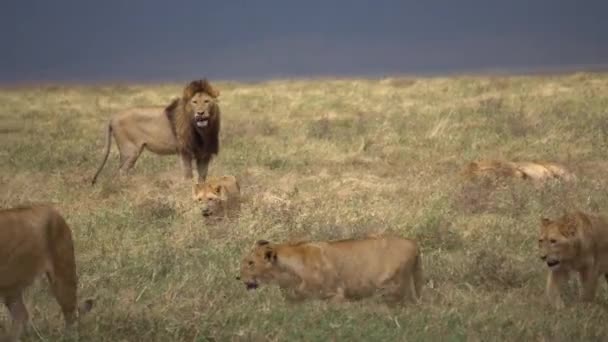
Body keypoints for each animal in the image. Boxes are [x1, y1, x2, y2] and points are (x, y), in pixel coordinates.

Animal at [91, 79, 220, 186]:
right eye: (194, 102)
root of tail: (113, 117)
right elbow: (188, 175)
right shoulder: (184, 151)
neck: (202, 131)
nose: (200, 113)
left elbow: (202, 177)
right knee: (121, 172)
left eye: (206, 101)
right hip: (130, 151)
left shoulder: (204, 153)